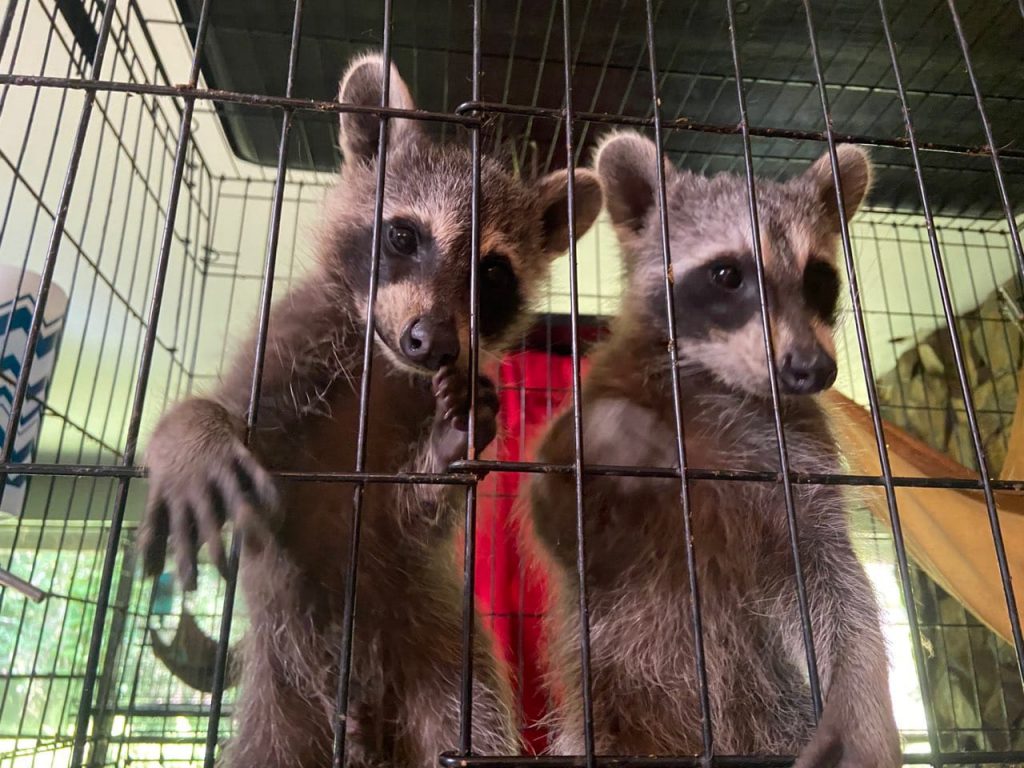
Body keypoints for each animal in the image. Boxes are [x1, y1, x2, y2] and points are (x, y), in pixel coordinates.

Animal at [136, 54, 598, 768]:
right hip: (283, 693)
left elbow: (408, 516)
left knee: (471, 729)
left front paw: (448, 441)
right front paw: (193, 432)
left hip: (445, 660)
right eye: (404, 236)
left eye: (493, 274)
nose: (432, 341)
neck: (388, 366)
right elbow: (236, 412)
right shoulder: (294, 338)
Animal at [532, 134, 901, 768]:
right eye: (727, 274)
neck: (725, 383)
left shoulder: (802, 460)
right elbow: (564, 523)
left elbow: (839, 589)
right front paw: (604, 437)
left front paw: (864, 708)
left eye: (819, 279)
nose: (812, 370)